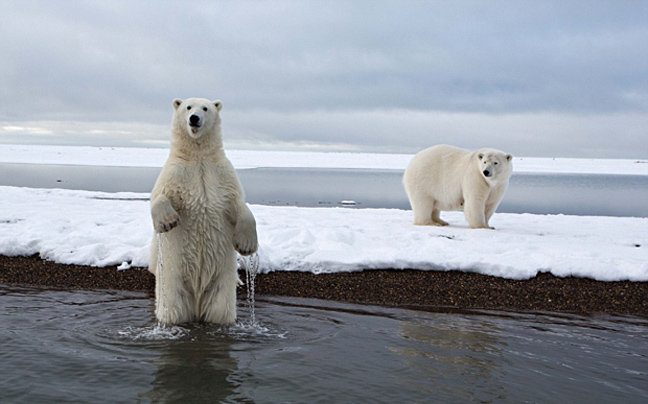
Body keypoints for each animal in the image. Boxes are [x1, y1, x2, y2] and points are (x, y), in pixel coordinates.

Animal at [148, 98, 256, 326]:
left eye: (205, 108)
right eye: (188, 107)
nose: (194, 118)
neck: (198, 157)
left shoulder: (221, 173)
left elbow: (238, 204)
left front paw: (246, 245)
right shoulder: (177, 172)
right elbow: (160, 195)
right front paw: (168, 221)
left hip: (220, 286)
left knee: (220, 310)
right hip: (173, 284)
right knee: (172, 310)